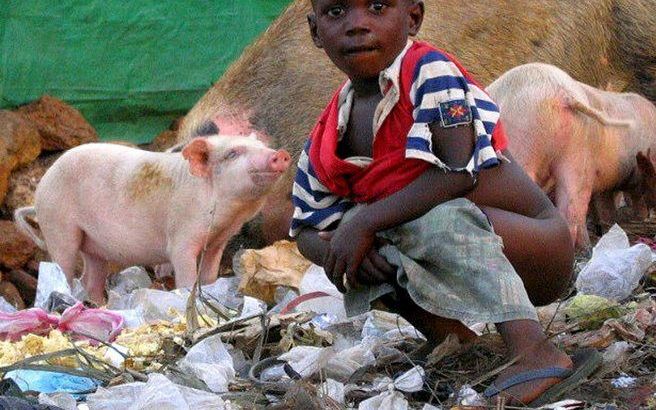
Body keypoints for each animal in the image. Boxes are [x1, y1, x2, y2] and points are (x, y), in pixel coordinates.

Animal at [12, 135, 290, 304]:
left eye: (262, 144)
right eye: (233, 153)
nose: (280, 154)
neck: (226, 216)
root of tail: (39, 192)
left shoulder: (217, 244)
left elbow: (210, 275)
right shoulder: (181, 236)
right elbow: (186, 274)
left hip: (93, 245)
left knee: (90, 278)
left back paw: (101, 307)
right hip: (57, 224)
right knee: (64, 267)